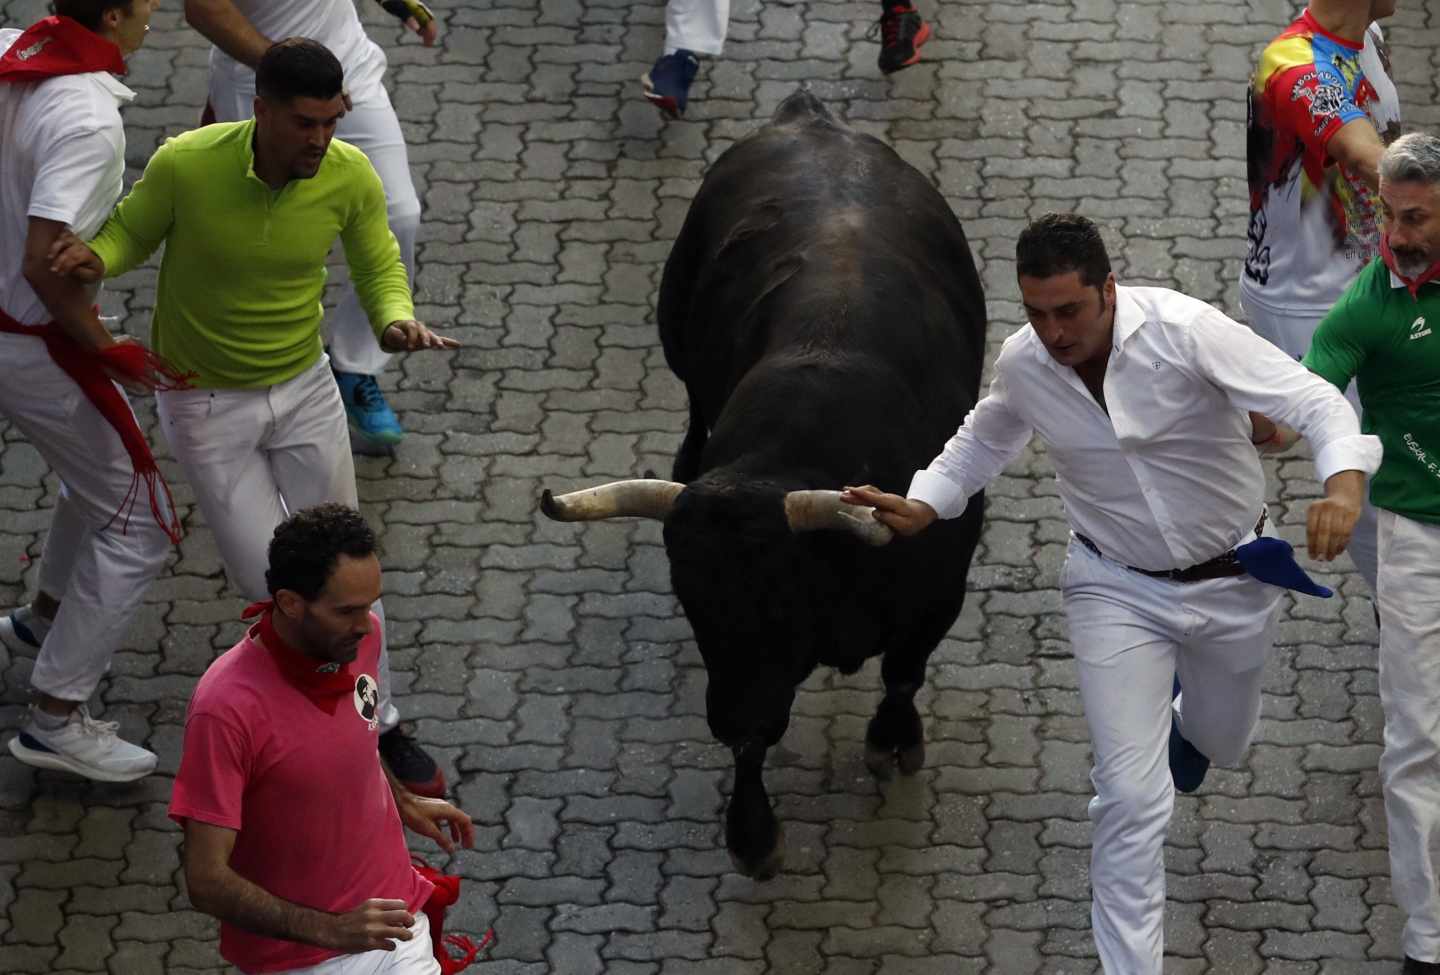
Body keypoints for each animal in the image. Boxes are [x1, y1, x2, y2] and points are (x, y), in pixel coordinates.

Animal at [541, 91, 990, 875]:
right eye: (690, 597)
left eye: (776, 593)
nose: (724, 715)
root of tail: (808, 115)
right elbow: (754, 747)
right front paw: (751, 832)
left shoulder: (939, 590)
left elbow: (903, 672)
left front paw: (893, 738)